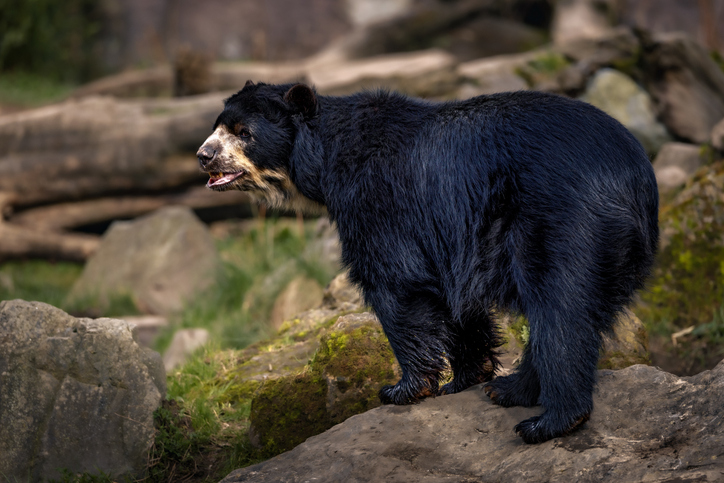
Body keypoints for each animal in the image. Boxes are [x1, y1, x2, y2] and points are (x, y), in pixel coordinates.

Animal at [196, 81, 659, 444]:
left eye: (244, 133)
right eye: (217, 126)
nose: (203, 155)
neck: (323, 161)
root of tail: (635, 176)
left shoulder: (378, 202)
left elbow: (397, 284)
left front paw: (401, 390)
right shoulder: (449, 234)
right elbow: (455, 300)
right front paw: (466, 378)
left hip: (563, 220)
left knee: (561, 309)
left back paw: (546, 422)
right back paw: (510, 389)